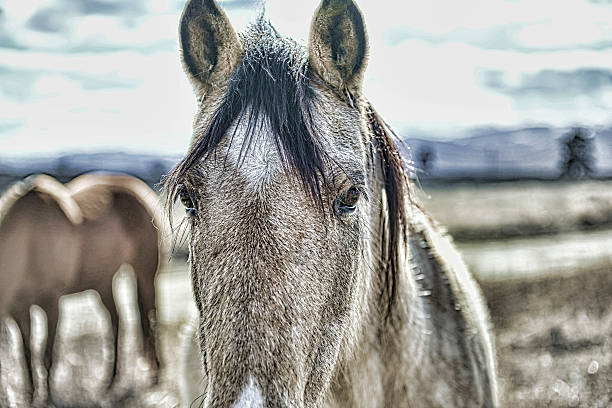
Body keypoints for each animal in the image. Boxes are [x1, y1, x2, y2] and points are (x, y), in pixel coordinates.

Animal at [0, 173, 164, 366]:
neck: (30, 243)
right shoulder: (18, 310)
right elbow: (26, 355)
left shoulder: (51, 303)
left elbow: (47, 356)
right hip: (103, 283)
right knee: (117, 320)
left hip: (146, 274)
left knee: (151, 314)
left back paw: (155, 367)